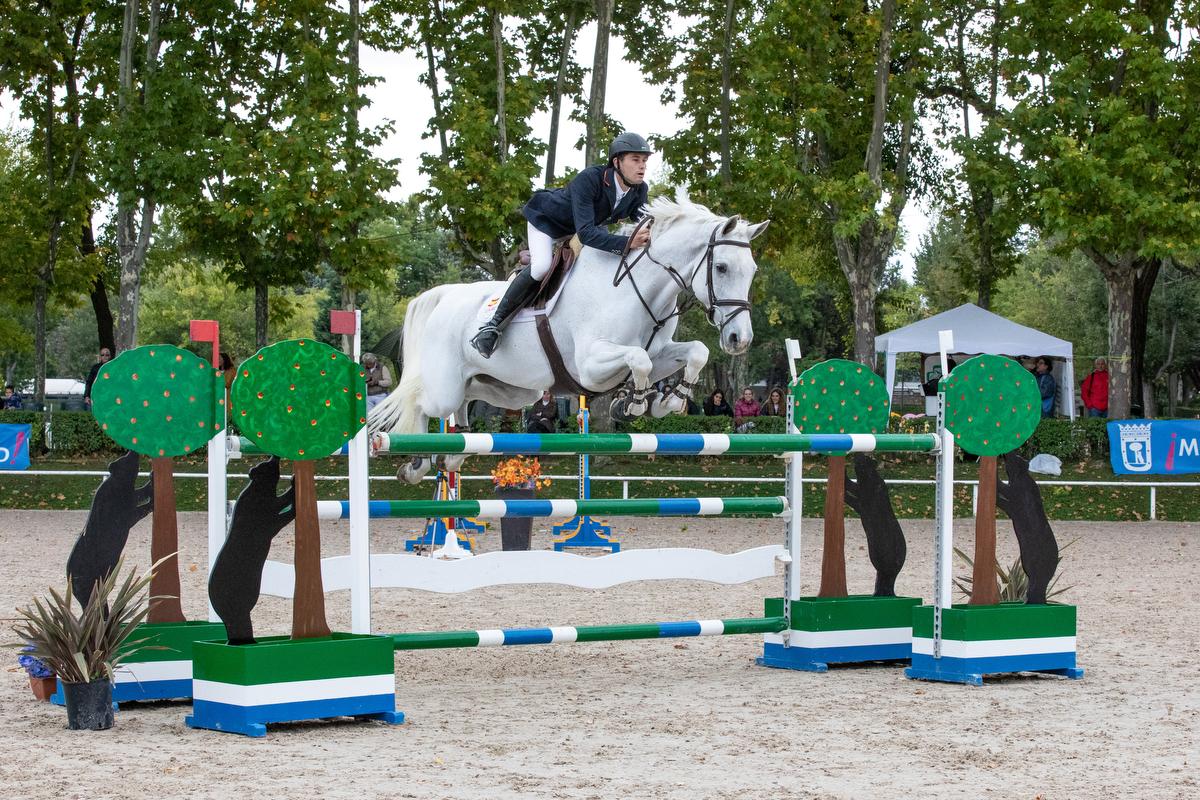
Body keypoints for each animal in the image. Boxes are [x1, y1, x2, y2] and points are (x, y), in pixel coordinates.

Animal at [364, 193, 772, 482]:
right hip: (446, 385)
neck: (637, 288)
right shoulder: (590, 366)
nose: (739, 338)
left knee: (467, 399)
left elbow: (695, 352)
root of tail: (445, 296)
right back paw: (416, 464)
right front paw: (633, 404)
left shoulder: (661, 352)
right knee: (421, 403)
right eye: (721, 267)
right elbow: (637, 358)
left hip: (510, 389)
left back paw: (453, 452)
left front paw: (667, 401)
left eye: (753, 270)